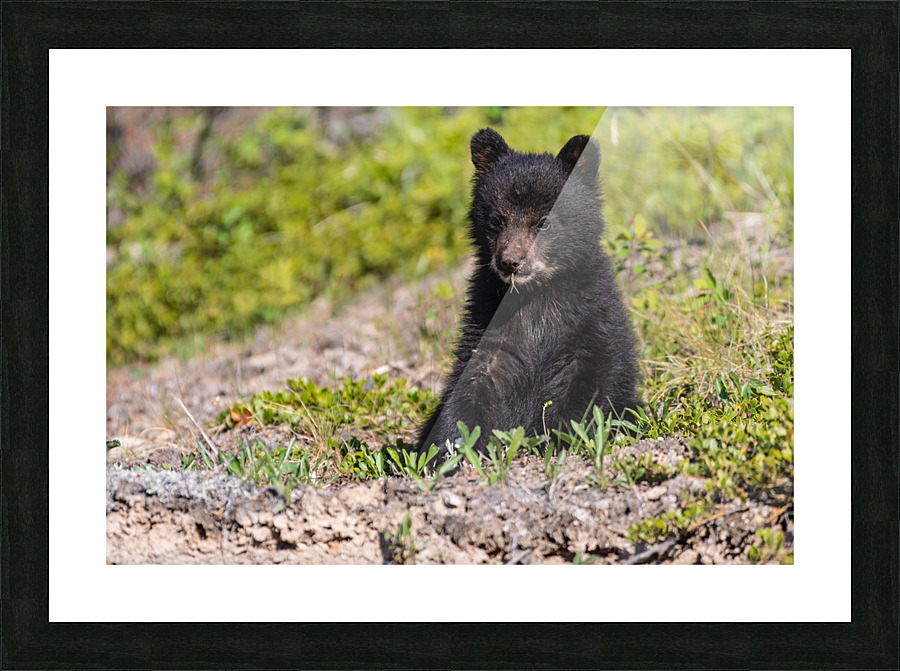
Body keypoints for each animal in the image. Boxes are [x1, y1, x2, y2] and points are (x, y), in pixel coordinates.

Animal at [416, 127, 640, 460]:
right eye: (497, 219)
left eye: (544, 222)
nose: (509, 261)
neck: (535, 295)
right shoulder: (487, 325)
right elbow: (470, 388)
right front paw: (448, 452)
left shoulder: (591, 321)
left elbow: (590, 385)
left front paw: (561, 438)